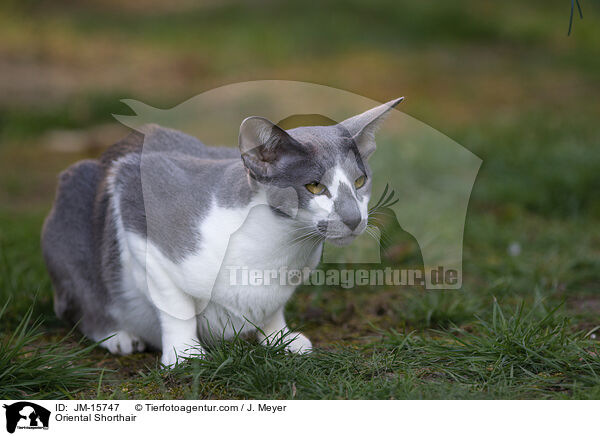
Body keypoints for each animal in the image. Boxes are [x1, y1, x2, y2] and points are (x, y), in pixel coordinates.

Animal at [42, 97, 404, 366]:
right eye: (315, 186)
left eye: (360, 181)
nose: (354, 217)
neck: (281, 248)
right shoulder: (135, 196)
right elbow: (175, 306)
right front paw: (185, 355)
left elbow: (274, 306)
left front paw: (280, 338)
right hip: (75, 204)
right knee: (81, 304)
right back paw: (118, 336)